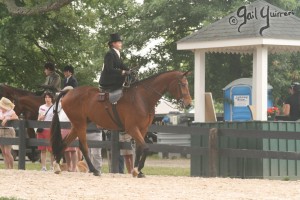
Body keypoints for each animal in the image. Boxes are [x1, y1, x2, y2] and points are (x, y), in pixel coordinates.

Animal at [50, 70, 192, 177]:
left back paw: (57, 166)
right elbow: (145, 147)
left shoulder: (143, 129)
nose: (189, 104)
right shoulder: (132, 128)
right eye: (182, 84)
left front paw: (138, 170)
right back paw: (94, 170)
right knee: (83, 146)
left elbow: (140, 148)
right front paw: (137, 170)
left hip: (77, 125)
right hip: (80, 124)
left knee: (65, 143)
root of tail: (69, 92)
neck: (143, 98)